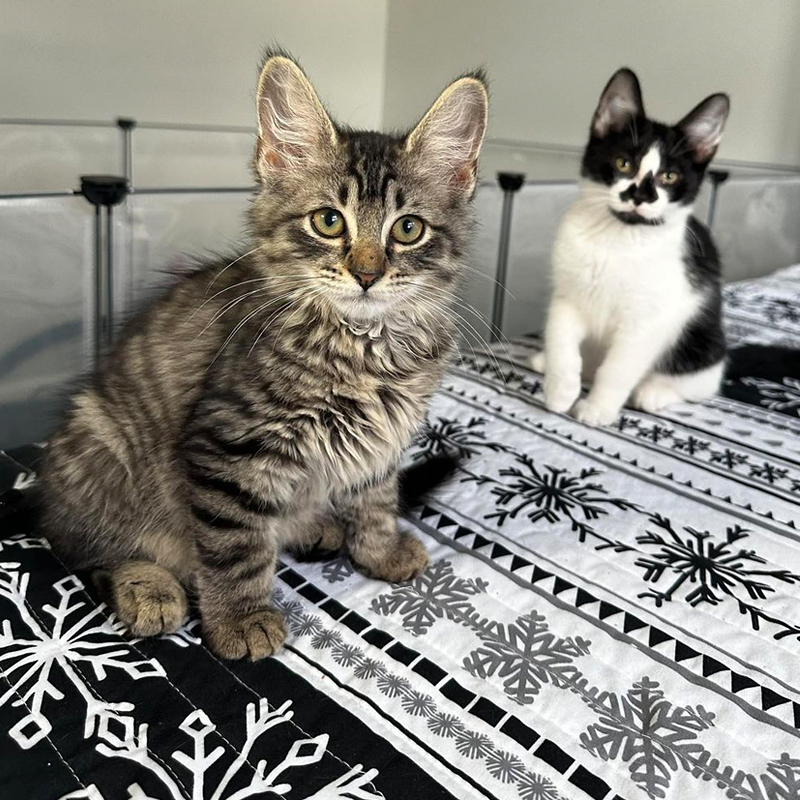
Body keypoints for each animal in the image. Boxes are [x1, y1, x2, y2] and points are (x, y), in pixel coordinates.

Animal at [40, 51, 488, 664]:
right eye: (328, 221)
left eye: (408, 229)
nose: (367, 274)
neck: (363, 346)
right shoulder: (229, 446)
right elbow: (236, 546)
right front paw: (240, 621)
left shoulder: (384, 438)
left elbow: (377, 499)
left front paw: (378, 553)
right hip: (100, 446)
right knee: (83, 550)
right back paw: (148, 588)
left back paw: (314, 526)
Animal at [536, 69, 728, 428]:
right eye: (623, 163)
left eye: (669, 176)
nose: (640, 195)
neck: (617, 238)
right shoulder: (567, 296)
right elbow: (561, 339)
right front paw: (560, 389)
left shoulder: (646, 323)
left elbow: (618, 369)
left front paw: (597, 409)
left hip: (700, 343)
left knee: (700, 385)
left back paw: (653, 392)